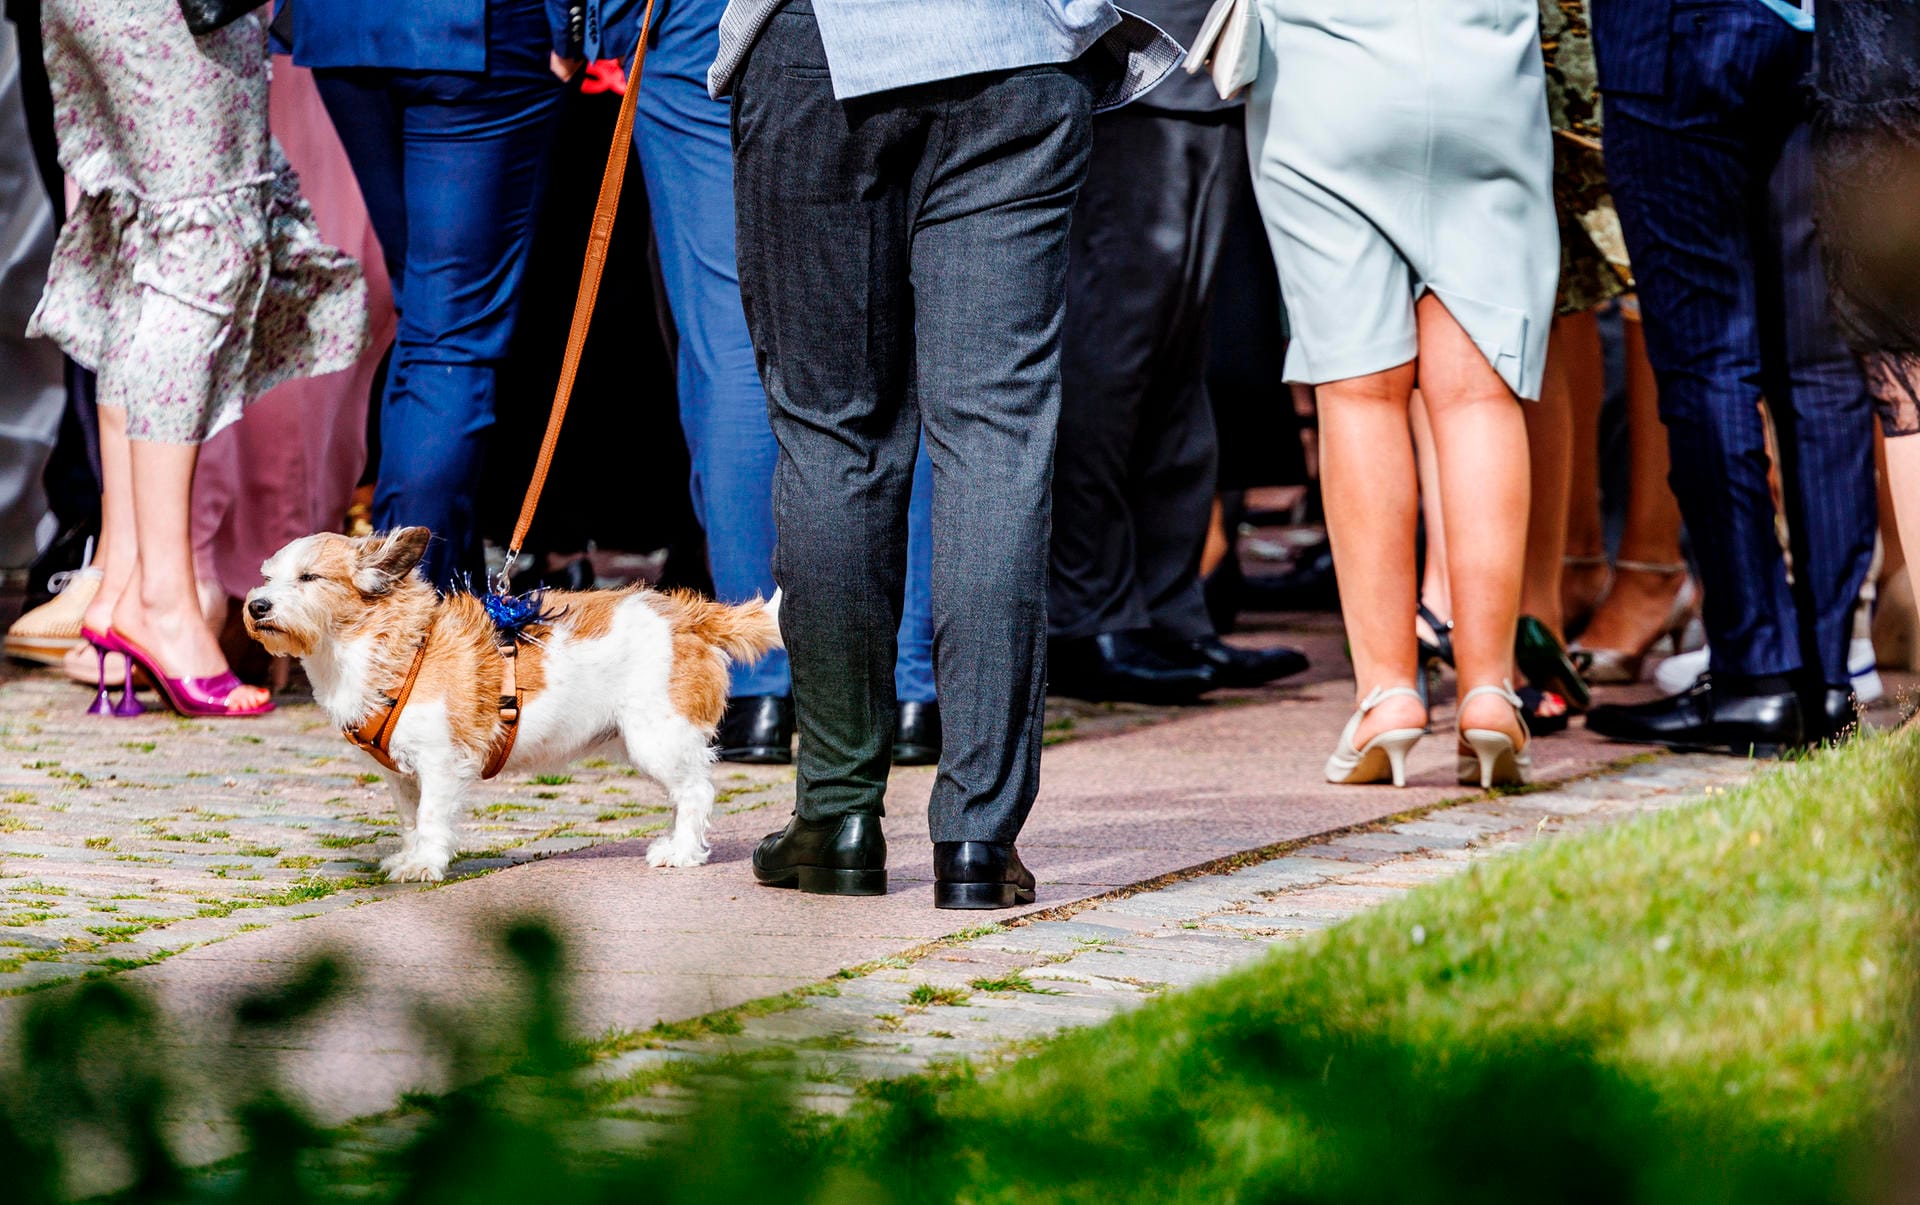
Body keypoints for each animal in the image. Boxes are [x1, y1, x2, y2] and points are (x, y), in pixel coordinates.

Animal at [241, 525, 779, 886]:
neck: (393, 646)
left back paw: (683, 852)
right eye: (266, 576)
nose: (256, 606)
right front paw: (409, 856)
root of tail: (690, 615)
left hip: (657, 739)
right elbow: (411, 821)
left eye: (309, 577)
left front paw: (425, 864)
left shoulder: (441, 763)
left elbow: (432, 818)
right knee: (684, 793)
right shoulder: (402, 777)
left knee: (697, 792)